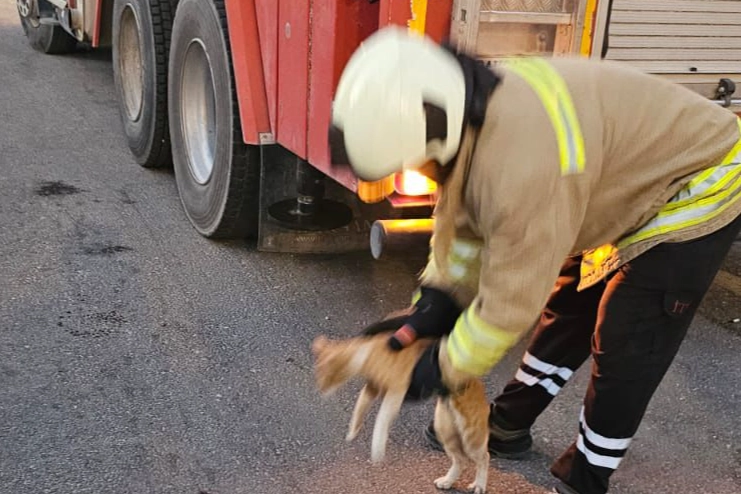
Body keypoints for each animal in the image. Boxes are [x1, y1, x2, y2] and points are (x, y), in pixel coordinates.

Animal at [310, 332, 492, 494]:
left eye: (323, 375)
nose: (320, 391)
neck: (369, 353)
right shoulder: (372, 388)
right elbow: (360, 407)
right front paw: (352, 432)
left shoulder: (396, 392)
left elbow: (381, 422)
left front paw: (377, 451)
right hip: (444, 428)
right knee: (461, 460)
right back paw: (447, 481)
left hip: (470, 435)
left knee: (484, 457)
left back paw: (479, 485)